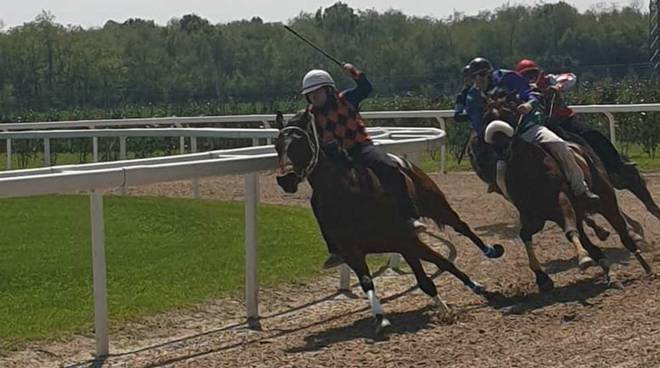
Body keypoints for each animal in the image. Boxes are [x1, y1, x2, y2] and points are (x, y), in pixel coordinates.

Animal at [274, 110, 500, 334]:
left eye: (300, 142)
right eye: (277, 145)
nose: (286, 179)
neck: (347, 196)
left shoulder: (405, 240)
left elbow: (434, 272)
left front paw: (459, 299)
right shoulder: (355, 252)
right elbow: (370, 282)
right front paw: (380, 317)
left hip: (437, 207)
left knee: (462, 227)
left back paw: (491, 252)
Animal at [482, 96, 652, 292]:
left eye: (508, 112)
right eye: (486, 117)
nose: (500, 148)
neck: (528, 169)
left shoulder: (561, 199)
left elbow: (570, 229)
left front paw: (583, 258)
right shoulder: (533, 216)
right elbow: (525, 235)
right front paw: (542, 278)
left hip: (605, 198)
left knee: (622, 231)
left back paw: (644, 263)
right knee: (590, 240)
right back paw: (609, 270)